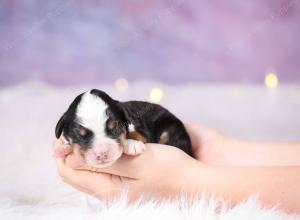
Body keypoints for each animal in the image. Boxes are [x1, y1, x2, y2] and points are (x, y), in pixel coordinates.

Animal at [55, 89, 193, 167]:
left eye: (115, 127)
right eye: (80, 135)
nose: (102, 154)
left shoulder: (142, 130)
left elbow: (134, 133)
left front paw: (132, 144)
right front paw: (63, 147)